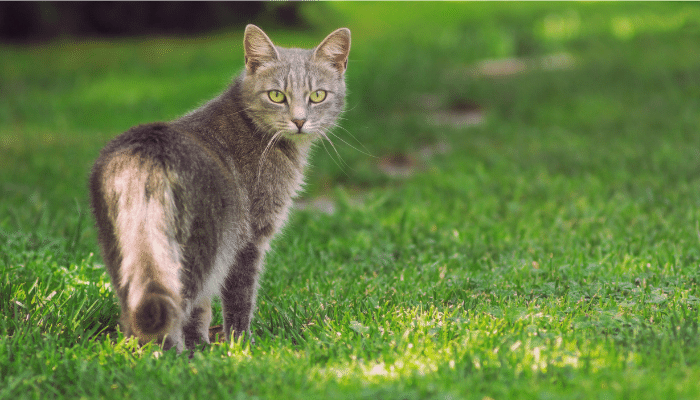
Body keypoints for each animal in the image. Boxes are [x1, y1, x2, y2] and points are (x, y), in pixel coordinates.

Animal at [88, 24, 350, 350]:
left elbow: (200, 313)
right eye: (277, 95)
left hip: (121, 249)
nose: (299, 120)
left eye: (318, 95)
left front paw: (203, 347)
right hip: (199, 250)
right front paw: (241, 344)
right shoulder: (248, 240)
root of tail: (146, 153)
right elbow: (239, 300)